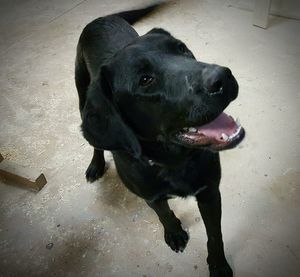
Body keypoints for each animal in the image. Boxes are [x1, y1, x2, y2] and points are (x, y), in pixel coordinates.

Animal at [75, 4, 244, 276]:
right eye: (145, 80)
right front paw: (174, 232)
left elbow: (215, 235)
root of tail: (101, 18)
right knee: (93, 141)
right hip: (82, 95)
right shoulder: (150, 195)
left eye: (181, 48)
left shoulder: (210, 192)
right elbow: (163, 213)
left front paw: (218, 266)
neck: (175, 162)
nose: (222, 77)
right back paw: (96, 165)